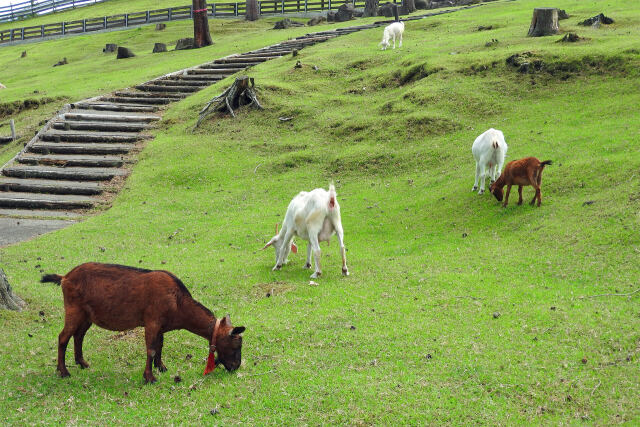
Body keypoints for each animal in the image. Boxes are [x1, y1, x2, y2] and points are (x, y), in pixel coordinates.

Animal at [40, 262, 245, 386]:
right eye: (236, 344)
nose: (235, 367)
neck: (178, 302)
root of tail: (65, 277)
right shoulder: (152, 321)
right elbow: (151, 349)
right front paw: (149, 377)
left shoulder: (161, 326)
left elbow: (160, 345)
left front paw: (161, 367)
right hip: (73, 310)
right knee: (63, 337)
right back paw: (63, 371)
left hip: (86, 316)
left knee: (79, 335)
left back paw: (81, 363)